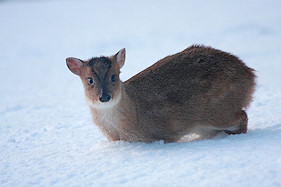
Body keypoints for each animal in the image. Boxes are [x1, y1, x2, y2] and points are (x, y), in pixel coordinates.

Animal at [66, 45, 255, 142]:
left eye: (114, 76)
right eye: (89, 80)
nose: (104, 96)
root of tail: (251, 76)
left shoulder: (164, 132)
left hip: (219, 109)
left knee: (242, 116)